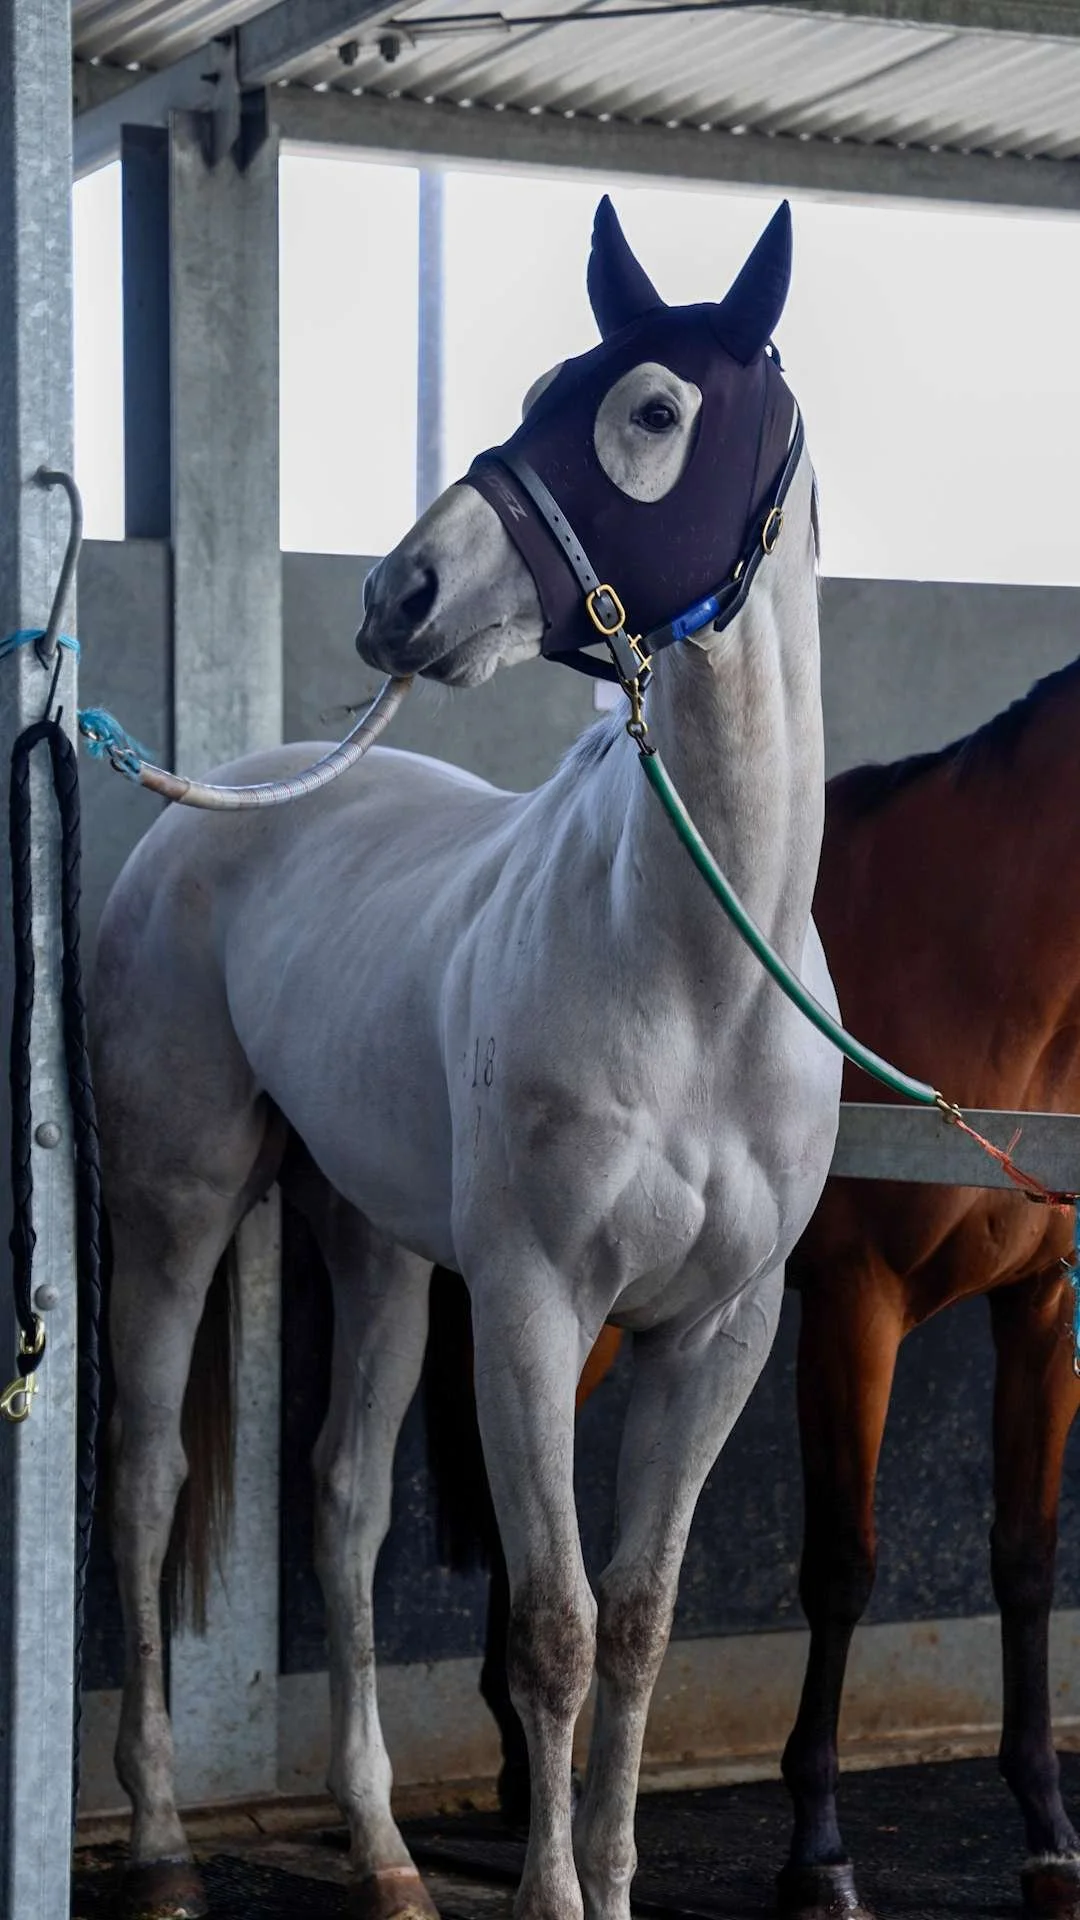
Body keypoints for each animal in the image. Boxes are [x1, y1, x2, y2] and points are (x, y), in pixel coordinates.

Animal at [92, 195, 840, 1920]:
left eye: (650, 411)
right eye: (536, 392)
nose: (396, 593)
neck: (701, 970)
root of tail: (208, 809)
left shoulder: (720, 1333)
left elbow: (640, 1617)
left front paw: (611, 1885)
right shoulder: (530, 1304)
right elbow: (555, 1626)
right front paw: (559, 1897)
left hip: (373, 1244)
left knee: (343, 1502)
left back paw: (380, 1852)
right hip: (173, 1212)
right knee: (146, 1486)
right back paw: (160, 1845)